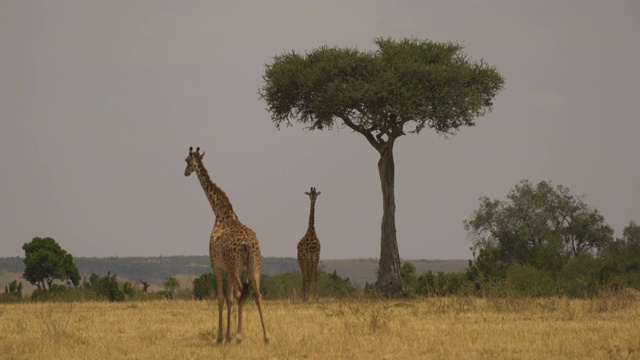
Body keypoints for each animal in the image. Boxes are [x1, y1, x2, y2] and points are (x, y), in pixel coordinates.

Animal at [184, 148, 268, 344]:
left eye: (186, 161)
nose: (185, 172)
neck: (219, 211)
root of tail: (248, 244)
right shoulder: (229, 268)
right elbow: (229, 299)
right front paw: (228, 335)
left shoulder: (216, 265)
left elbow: (222, 298)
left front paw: (221, 336)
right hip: (254, 265)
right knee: (257, 294)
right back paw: (266, 336)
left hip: (235, 265)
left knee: (240, 293)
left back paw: (239, 336)